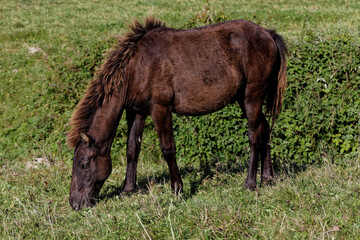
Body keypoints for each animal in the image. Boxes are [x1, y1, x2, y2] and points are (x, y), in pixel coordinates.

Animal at [67, 16, 286, 211]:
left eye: (84, 164)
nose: (75, 204)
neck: (137, 67)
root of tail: (268, 34)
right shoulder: (136, 112)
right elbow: (132, 149)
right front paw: (128, 189)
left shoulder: (160, 109)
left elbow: (168, 149)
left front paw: (177, 189)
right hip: (244, 99)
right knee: (265, 129)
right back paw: (268, 177)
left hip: (252, 97)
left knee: (254, 137)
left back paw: (250, 183)